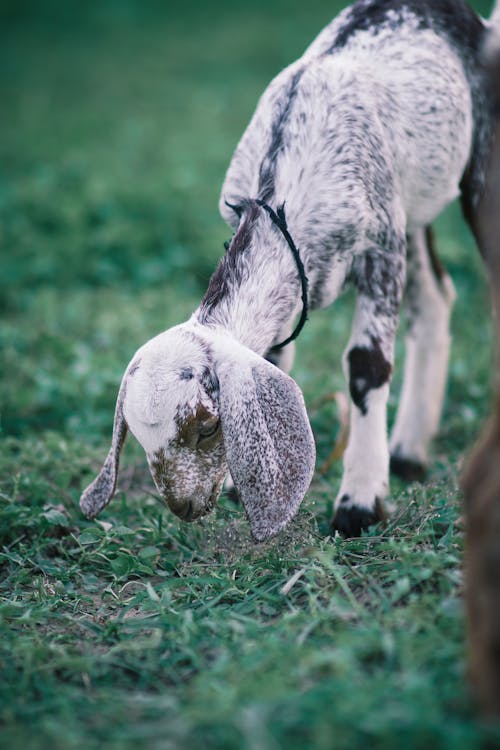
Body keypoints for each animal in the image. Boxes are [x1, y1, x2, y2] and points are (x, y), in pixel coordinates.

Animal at [80, 0, 494, 540]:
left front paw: (359, 504)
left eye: (207, 426)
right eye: (138, 435)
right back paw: (408, 451)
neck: (284, 195)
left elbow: (367, 367)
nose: (184, 507)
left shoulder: (381, 248)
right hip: (415, 202)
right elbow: (279, 356)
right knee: (437, 298)